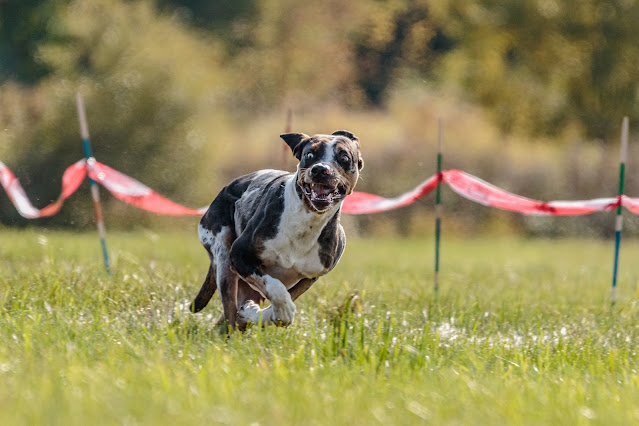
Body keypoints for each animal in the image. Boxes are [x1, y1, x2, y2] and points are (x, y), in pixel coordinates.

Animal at [188, 130, 362, 330]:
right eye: (309, 155)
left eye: (344, 157)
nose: (319, 170)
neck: (306, 220)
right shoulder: (239, 255)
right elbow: (275, 289)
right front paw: (282, 310)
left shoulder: (310, 277)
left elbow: (277, 306)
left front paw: (255, 313)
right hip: (224, 256)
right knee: (230, 310)